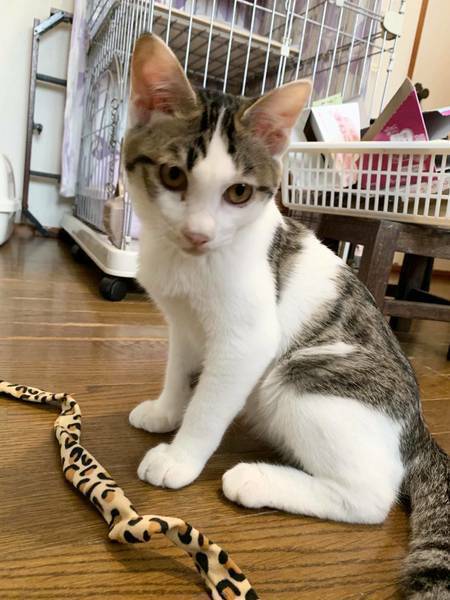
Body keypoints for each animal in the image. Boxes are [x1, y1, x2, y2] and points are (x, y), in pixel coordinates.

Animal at [124, 34, 449, 598]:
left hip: (301, 374)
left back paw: (254, 479)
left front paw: (180, 457)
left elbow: (209, 406)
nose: (198, 234)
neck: (189, 266)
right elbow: (179, 371)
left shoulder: (246, 341)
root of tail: (417, 426)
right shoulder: (183, 325)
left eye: (238, 192)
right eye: (172, 175)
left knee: (372, 498)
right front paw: (166, 410)